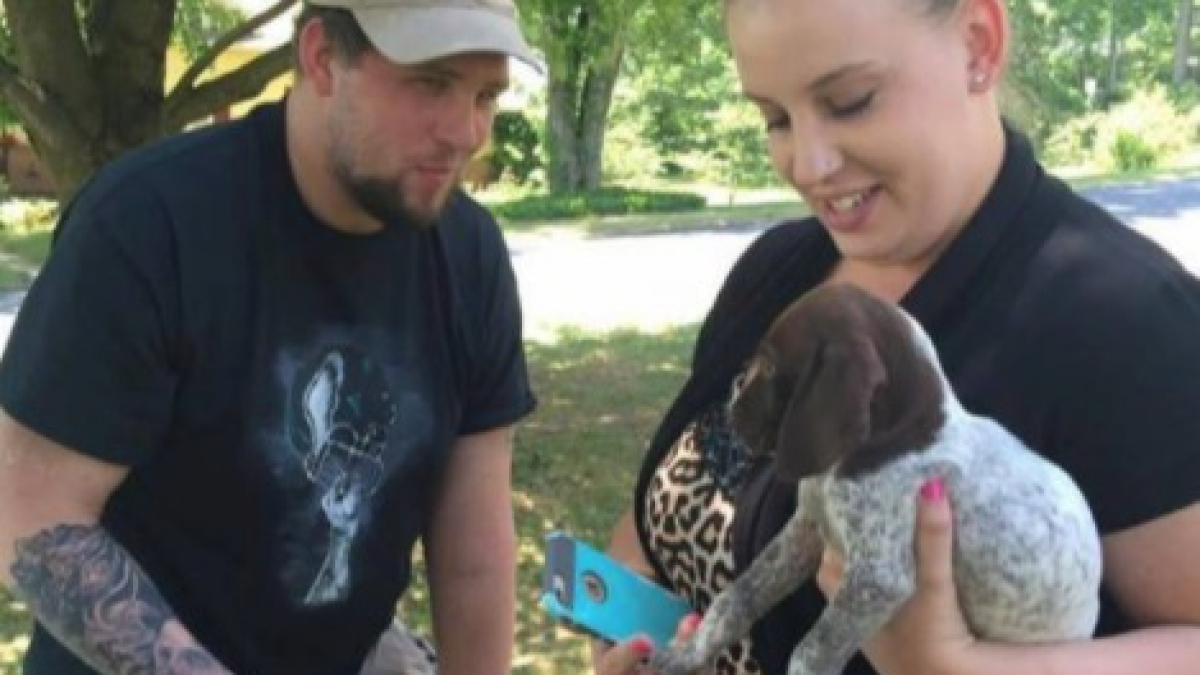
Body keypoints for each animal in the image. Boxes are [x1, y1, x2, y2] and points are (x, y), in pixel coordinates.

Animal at [652, 282, 1099, 672]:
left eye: (771, 365)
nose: (733, 395)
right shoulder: (806, 529)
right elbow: (736, 597)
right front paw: (686, 656)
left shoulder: (879, 578)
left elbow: (810, 654)